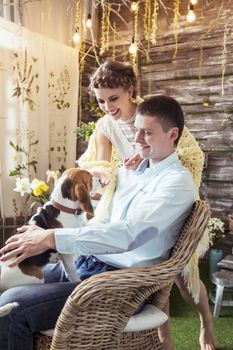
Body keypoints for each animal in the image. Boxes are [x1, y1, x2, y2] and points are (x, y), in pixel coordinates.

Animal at [0, 168, 100, 316]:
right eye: (91, 178)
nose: (101, 180)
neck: (63, 208)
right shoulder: (66, 251)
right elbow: (71, 269)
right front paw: (76, 281)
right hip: (37, 278)